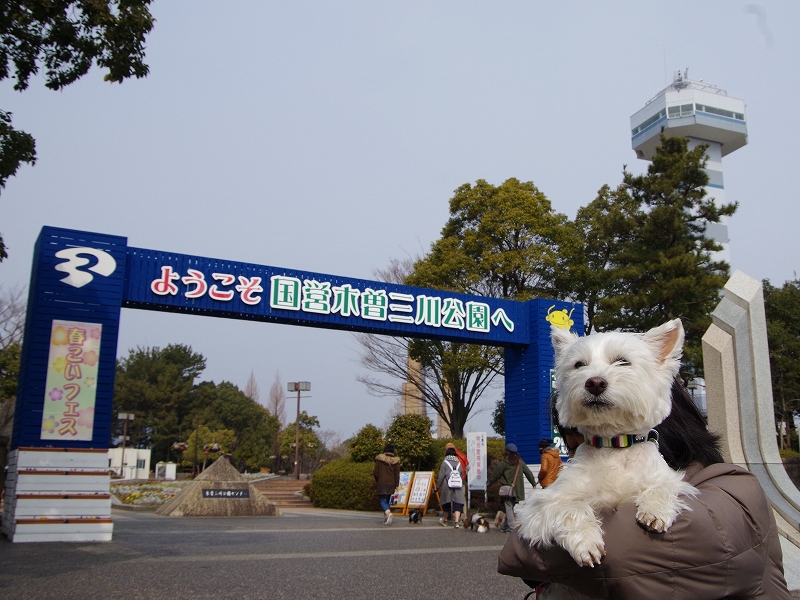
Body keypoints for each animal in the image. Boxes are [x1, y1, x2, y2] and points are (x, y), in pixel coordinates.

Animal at [516, 318, 696, 568]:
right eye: (579, 365)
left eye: (622, 361)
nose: (594, 382)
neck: (614, 443)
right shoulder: (542, 504)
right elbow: (570, 507)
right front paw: (587, 544)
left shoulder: (666, 477)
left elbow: (662, 487)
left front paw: (654, 513)